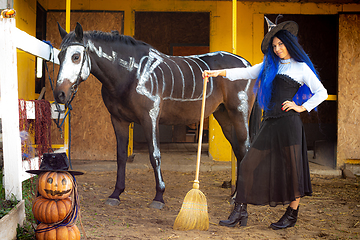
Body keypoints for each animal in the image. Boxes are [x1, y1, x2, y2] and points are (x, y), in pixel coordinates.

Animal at [54, 22, 260, 209]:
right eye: (59, 56)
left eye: (75, 56)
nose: (59, 94)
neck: (132, 74)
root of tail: (246, 64)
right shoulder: (118, 120)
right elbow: (121, 156)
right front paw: (116, 194)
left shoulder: (150, 118)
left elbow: (155, 155)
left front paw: (159, 197)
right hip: (224, 116)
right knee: (239, 150)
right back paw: (235, 195)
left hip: (239, 113)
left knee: (245, 148)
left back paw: (238, 199)